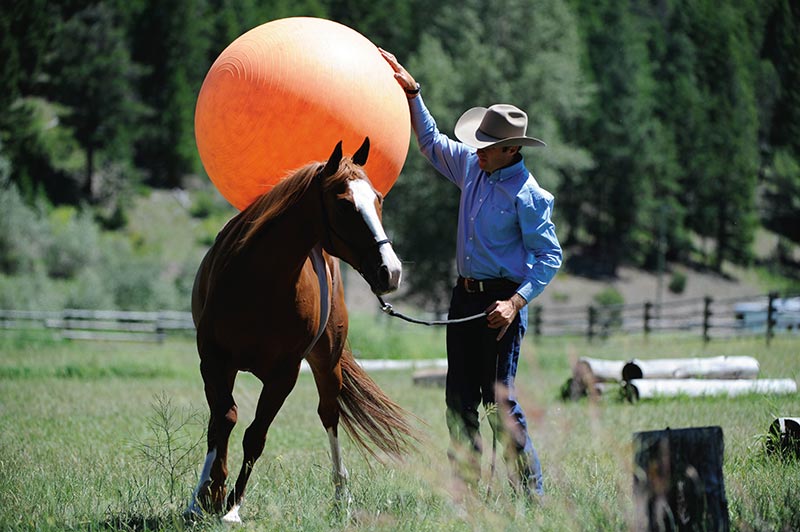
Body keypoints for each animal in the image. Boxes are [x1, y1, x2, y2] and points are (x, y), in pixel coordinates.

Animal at [185, 139, 416, 520]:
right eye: (345, 204)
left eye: (378, 198)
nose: (391, 271)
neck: (258, 279)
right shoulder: (214, 362)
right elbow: (222, 422)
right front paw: (209, 492)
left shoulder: (284, 374)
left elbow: (255, 435)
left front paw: (231, 506)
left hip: (327, 364)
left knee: (330, 415)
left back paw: (340, 496)